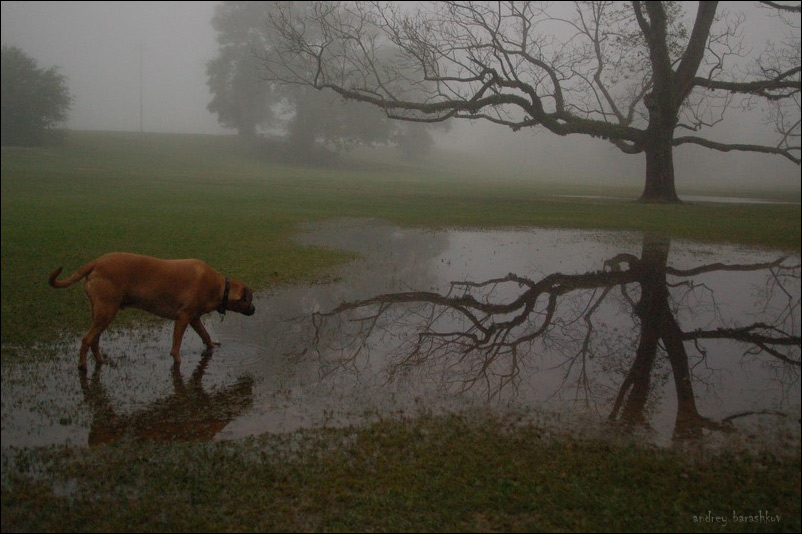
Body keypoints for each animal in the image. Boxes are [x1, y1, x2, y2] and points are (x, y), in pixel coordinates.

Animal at [48, 253, 255, 370]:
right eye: (250, 300)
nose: (254, 310)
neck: (220, 288)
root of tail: (96, 263)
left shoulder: (194, 318)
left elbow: (205, 334)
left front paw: (211, 346)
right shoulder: (184, 317)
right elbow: (176, 344)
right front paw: (177, 360)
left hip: (100, 312)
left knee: (94, 339)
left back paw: (100, 361)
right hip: (107, 311)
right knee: (86, 339)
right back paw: (82, 366)